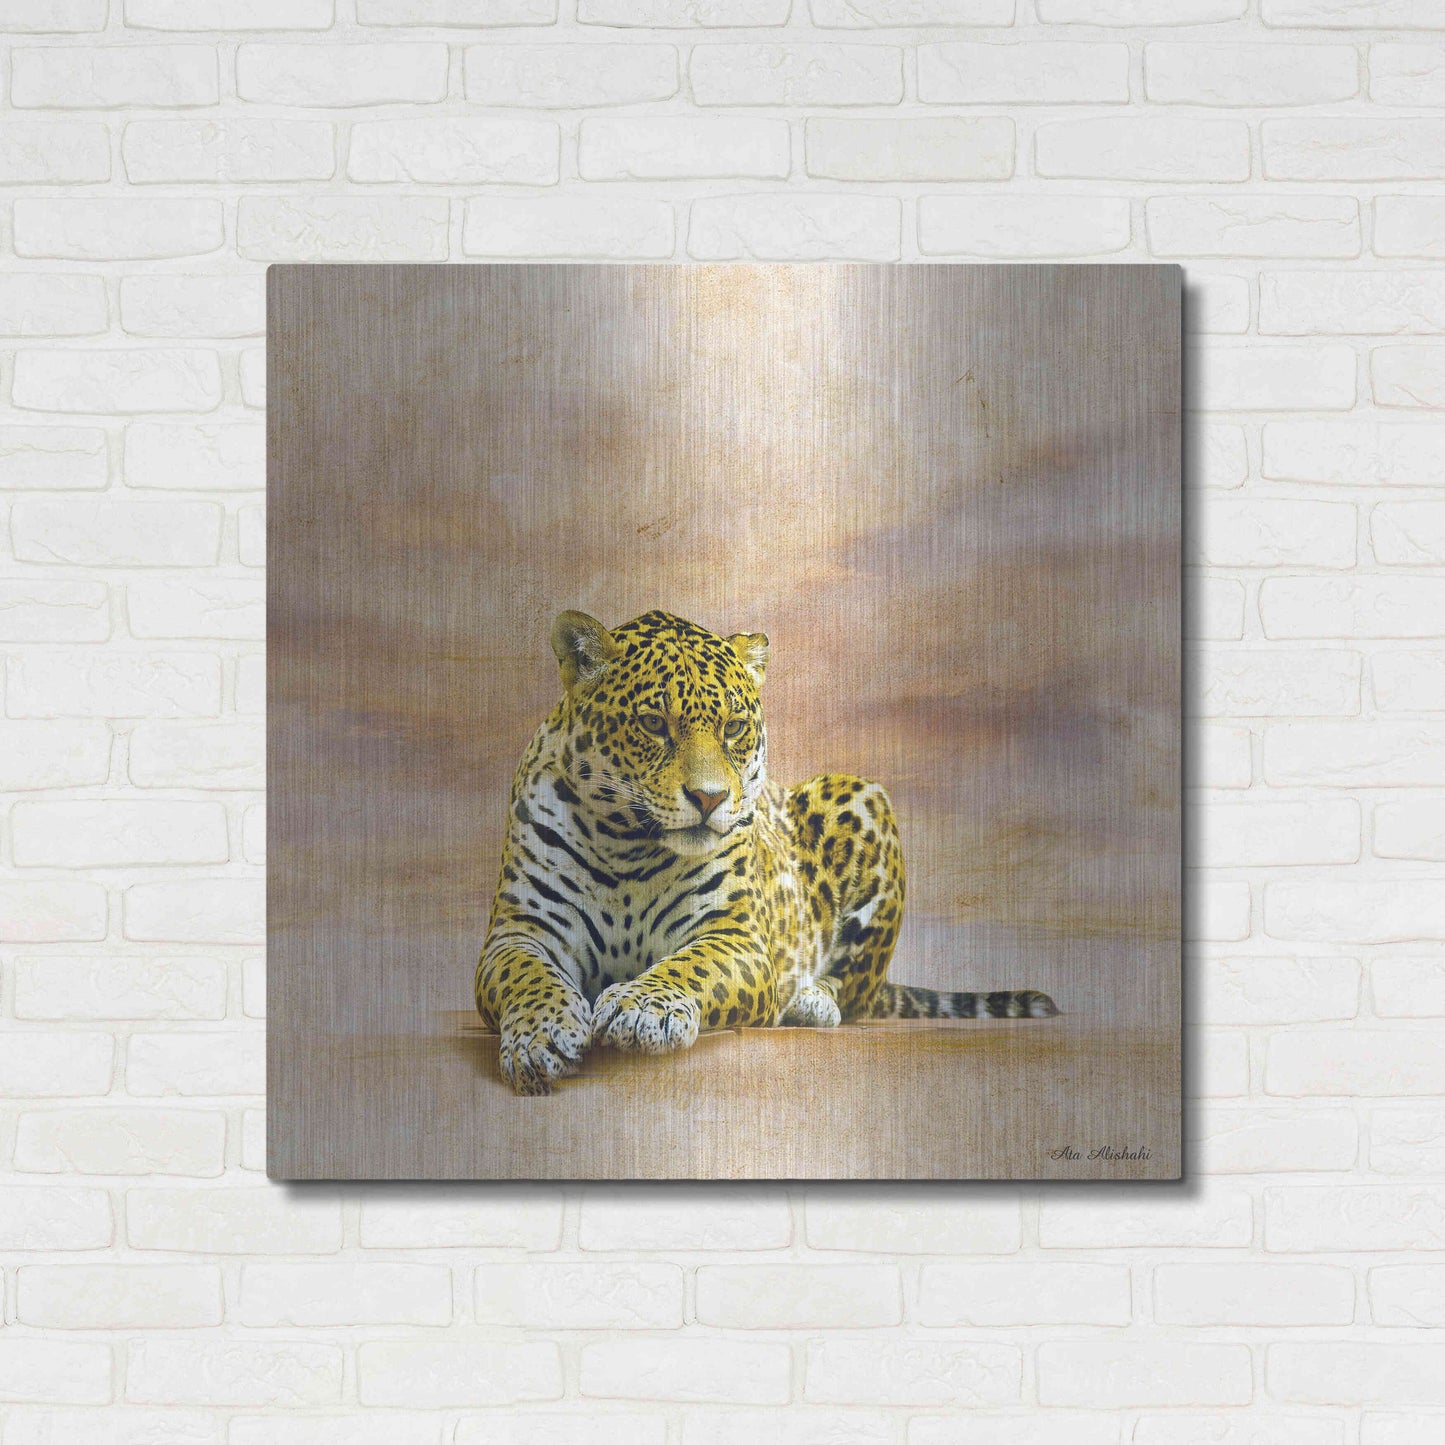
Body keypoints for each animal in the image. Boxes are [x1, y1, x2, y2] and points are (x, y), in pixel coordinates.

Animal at [475, 608, 1059, 1095]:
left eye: (733, 727)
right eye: (653, 724)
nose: (710, 798)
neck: (628, 846)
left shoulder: (737, 938)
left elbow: (689, 965)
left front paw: (642, 1008)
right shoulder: (518, 932)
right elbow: (526, 977)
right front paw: (540, 1036)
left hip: (861, 795)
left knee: (854, 988)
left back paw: (809, 1002)